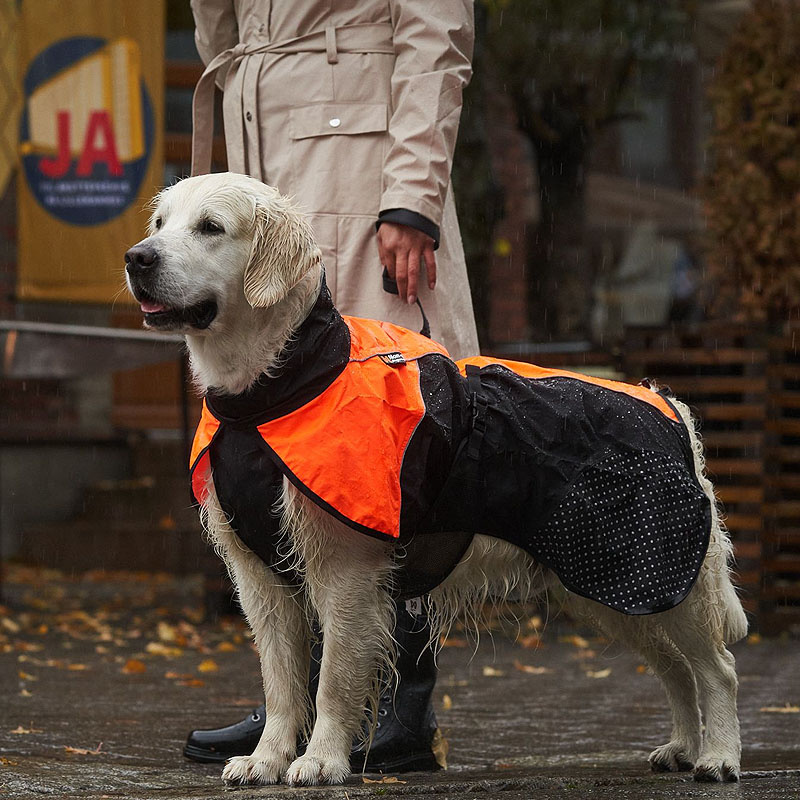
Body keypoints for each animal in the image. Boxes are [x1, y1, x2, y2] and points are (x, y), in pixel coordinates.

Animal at [122, 175, 748, 788]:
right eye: (160, 223)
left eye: (210, 227)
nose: (137, 257)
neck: (273, 392)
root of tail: (664, 404)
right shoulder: (261, 578)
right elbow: (281, 683)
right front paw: (267, 757)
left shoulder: (345, 569)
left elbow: (332, 679)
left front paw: (321, 759)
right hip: (614, 588)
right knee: (676, 668)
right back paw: (682, 747)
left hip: (660, 573)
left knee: (717, 667)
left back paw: (718, 757)